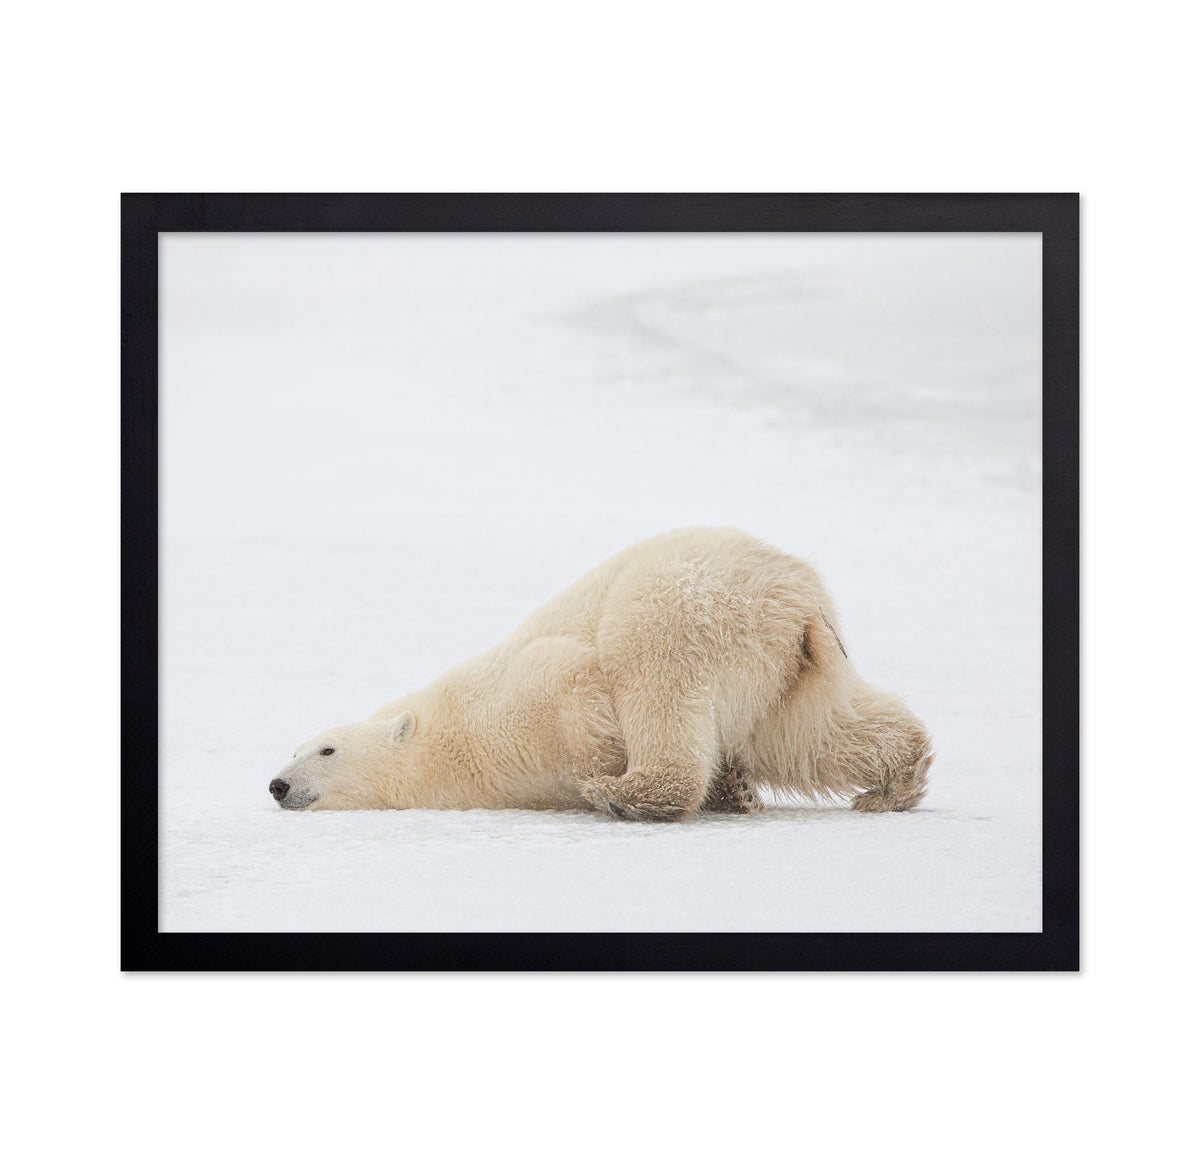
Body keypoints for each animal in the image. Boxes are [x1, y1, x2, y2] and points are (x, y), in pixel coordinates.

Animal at [268, 527, 933, 821]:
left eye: (325, 749)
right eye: (293, 747)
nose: (276, 784)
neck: (449, 739)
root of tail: (797, 594)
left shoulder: (523, 693)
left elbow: (574, 681)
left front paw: (605, 769)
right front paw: (736, 788)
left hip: (684, 604)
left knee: (658, 681)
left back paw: (624, 794)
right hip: (788, 666)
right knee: (809, 734)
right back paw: (891, 785)